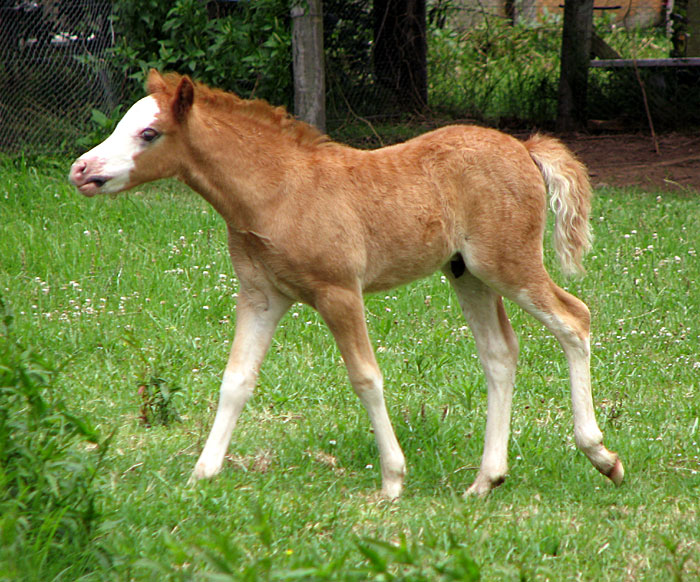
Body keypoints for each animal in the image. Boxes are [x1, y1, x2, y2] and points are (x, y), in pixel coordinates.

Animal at [69, 70, 624, 498]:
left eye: (149, 133)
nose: (81, 170)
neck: (278, 191)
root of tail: (524, 147)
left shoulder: (338, 293)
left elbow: (365, 377)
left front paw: (393, 480)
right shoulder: (262, 297)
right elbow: (236, 381)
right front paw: (202, 474)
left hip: (507, 264)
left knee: (574, 319)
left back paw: (601, 455)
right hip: (467, 273)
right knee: (500, 354)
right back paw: (486, 480)